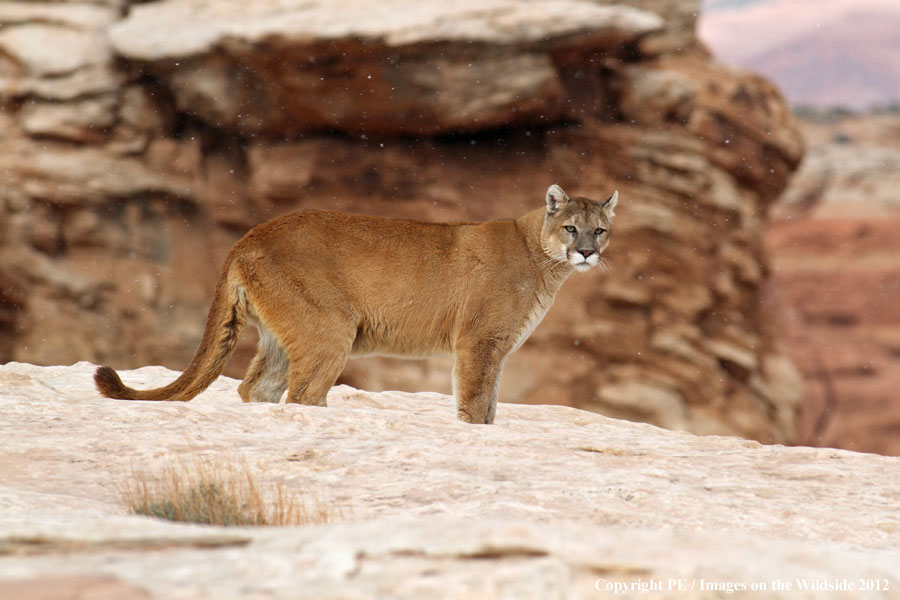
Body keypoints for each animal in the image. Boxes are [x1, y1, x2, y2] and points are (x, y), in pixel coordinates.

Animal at [96, 185, 620, 424]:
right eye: (571, 228)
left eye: (600, 229)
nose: (587, 252)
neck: (542, 258)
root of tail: (250, 234)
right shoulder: (479, 341)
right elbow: (474, 400)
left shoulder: (498, 349)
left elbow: (491, 402)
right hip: (330, 329)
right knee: (303, 393)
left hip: (284, 335)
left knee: (257, 387)